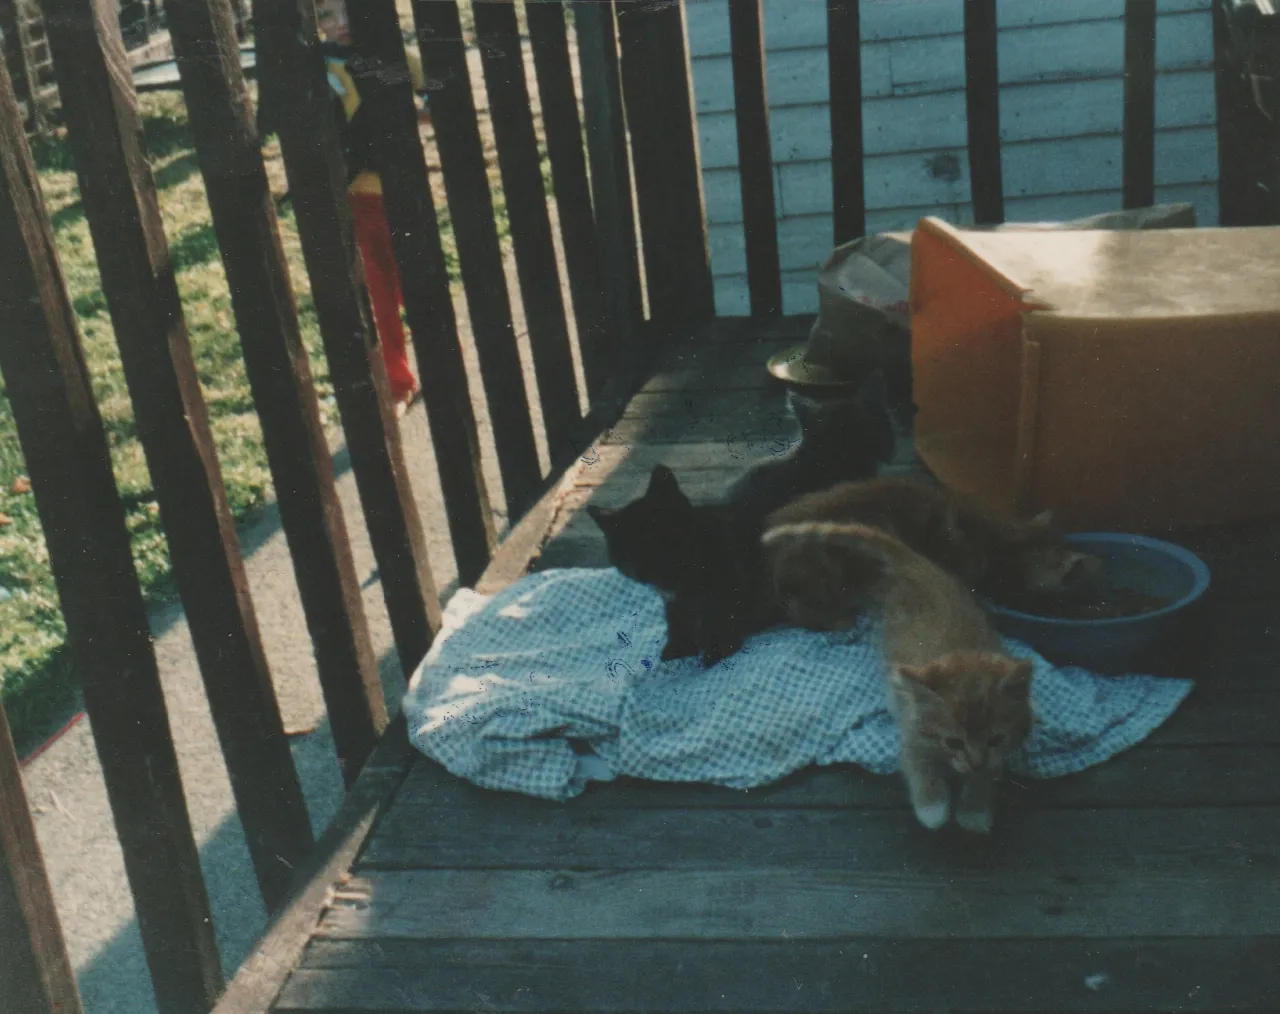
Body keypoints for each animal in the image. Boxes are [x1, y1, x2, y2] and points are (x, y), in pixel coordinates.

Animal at [586, 466, 762, 665]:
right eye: (628, 555)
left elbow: (720, 613)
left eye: (655, 540)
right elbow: (677, 617)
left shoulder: (726, 581)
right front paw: (680, 646)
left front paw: (720, 648)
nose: (643, 571)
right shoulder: (673, 599)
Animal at [757, 519, 1029, 834]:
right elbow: (918, 764)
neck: (960, 654)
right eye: (953, 742)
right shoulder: (911, 731)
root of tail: (916, 563)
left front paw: (974, 809)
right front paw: (933, 808)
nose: (975, 763)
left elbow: (990, 772)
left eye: (996, 739)